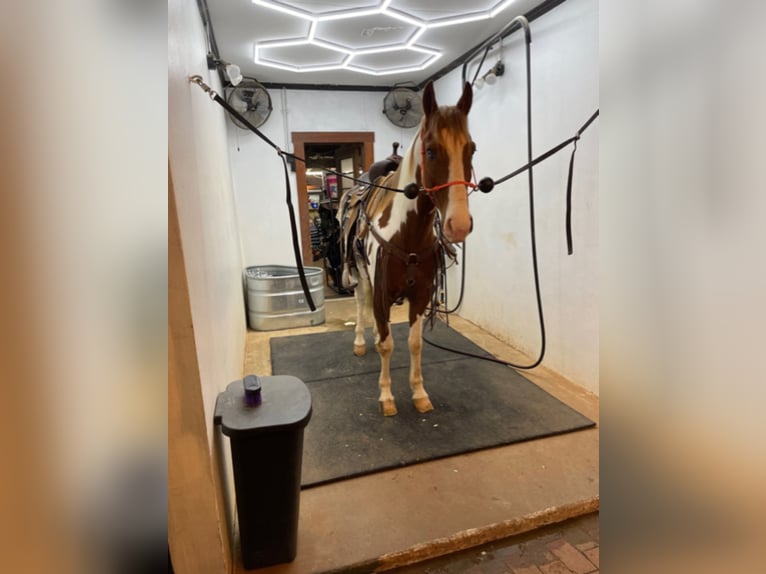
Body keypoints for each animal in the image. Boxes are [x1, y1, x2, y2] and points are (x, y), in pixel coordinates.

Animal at [338, 80, 476, 416]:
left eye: (472, 149)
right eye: (431, 150)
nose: (459, 224)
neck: (408, 235)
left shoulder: (421, 295)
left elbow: (414, 343)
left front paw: (419, 393)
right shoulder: (382, 291)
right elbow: (388, 345)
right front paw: (387, 397)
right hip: (361, 276)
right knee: (361, 305)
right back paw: (361, 342)